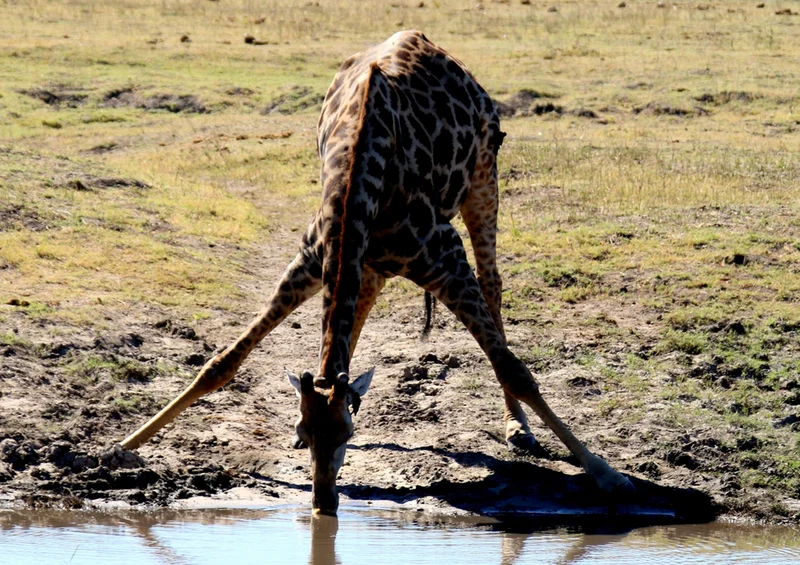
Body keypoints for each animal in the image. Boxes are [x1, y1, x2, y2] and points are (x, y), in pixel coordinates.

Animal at [119, 30, 633, 515]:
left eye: (346, 434)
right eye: (304, 430)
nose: (324, 502)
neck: (358, 176)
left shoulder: (446, 259)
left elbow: (514, 368)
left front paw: (607, 475)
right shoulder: (311, 260)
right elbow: (221, 363)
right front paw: (120, 449)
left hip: (483, 178)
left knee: (493, 286)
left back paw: (517, 428)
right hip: (372, 261)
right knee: (363, 304)